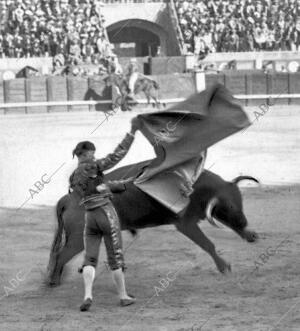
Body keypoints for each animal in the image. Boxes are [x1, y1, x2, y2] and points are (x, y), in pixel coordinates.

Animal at [46, 161, 258, 288]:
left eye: (240, 200)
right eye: (228, 206)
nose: (245, 223)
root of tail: (68, 198)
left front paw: (248, 236)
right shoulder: (186, 224)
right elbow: (208, 244)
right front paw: (224, 267)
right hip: (77, 239)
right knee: (60, 255)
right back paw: (53, 281)